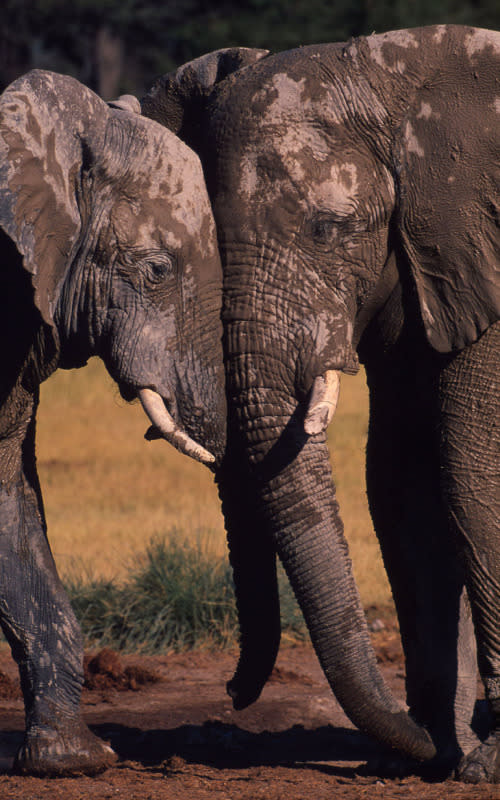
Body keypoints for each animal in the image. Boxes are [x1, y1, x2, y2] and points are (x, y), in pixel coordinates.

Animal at [142, 23, 500, 780]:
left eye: (329, 231)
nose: (232, 692)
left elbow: (472, 471)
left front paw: (479, 764)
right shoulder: (421, 268)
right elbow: (401, 481)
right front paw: (434, 750)